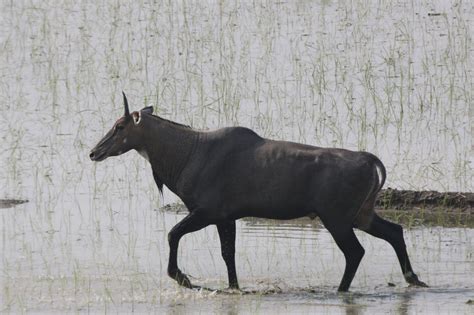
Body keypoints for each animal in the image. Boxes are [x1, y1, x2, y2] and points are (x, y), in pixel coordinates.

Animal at [88, 94, 426, 294]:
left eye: (120, 126)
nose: (94, 151)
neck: (183, 157)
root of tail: (371, 162)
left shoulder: (207, 210)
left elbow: (173, 234)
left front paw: (182, 277)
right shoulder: (226, 217)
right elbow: (228, 253)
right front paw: (234, 287)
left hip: (337, 217)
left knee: (356, 252)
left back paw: (341, 290)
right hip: (360, 214)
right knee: (394, 231)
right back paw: (413, 278)